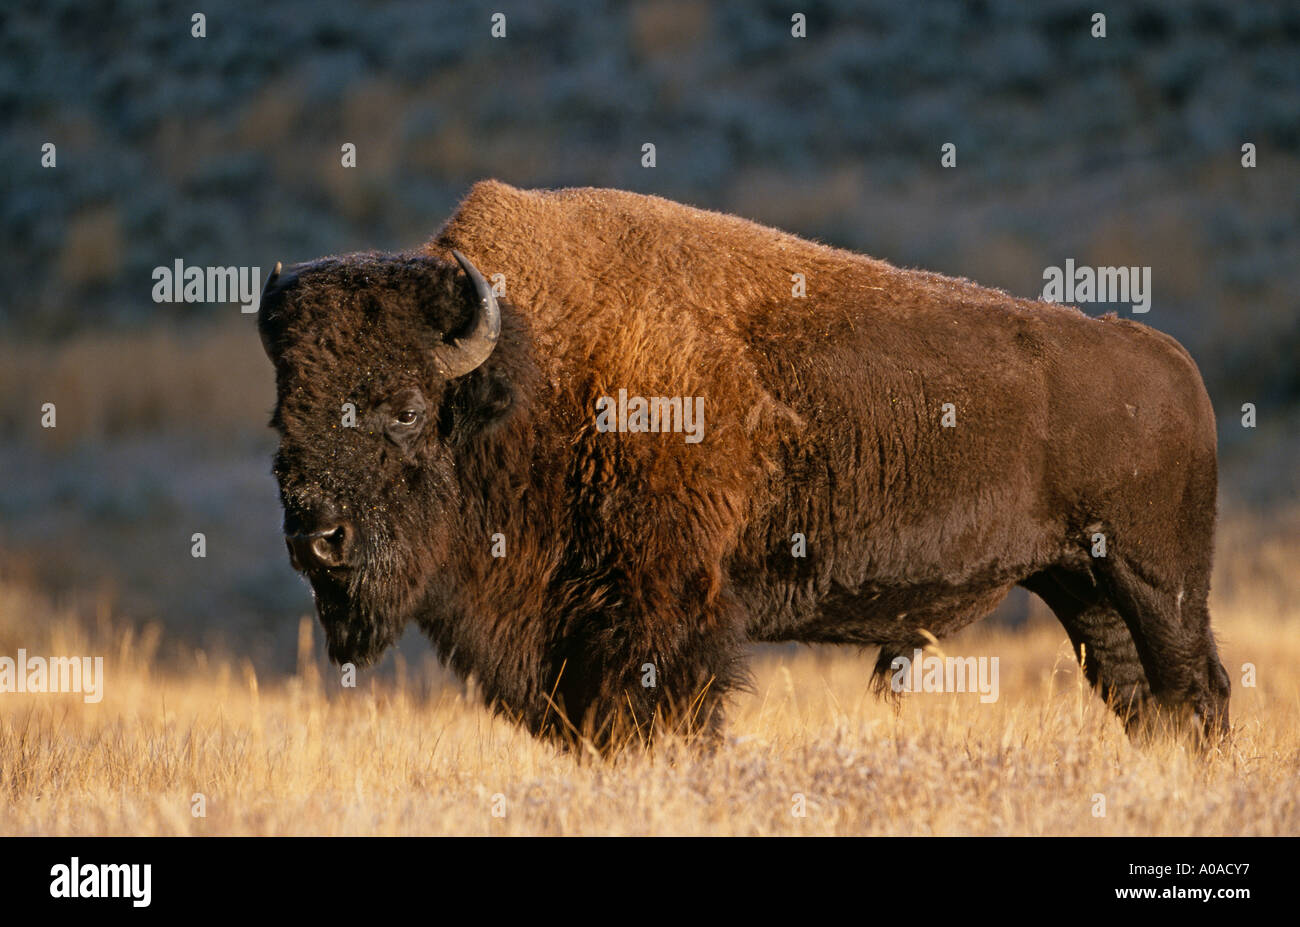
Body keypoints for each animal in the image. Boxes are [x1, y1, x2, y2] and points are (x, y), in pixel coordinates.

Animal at [261, 176, 1227, 748]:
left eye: (405, 409)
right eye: (283, 417)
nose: (319, 538)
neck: (529, 372)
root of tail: (1174, 362)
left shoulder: (665, 616)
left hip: (1155, 580)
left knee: (1197, 686)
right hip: (1084, 588)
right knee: (1147, 699)